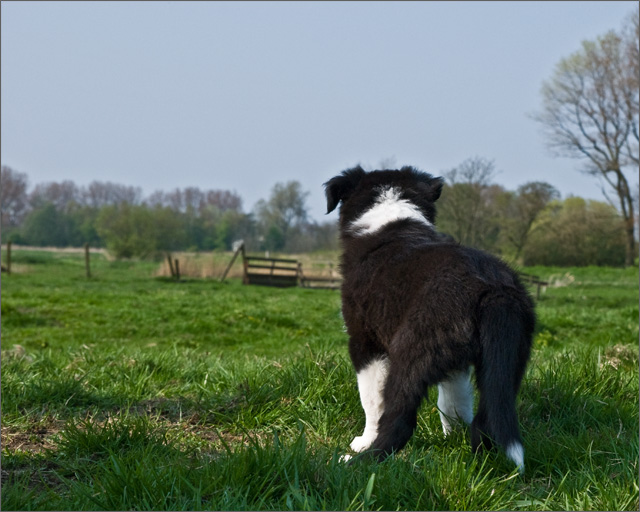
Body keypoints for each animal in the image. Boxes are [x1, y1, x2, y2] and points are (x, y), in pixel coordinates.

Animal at [324, 166, 536, 474]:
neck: (391, 212)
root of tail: (493, 290)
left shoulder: (365, 342)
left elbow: (372, 401)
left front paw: (362, 442)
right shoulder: (457, 362)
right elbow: (454, 401)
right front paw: (453, 439)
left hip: (410, 350)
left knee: (399, 421)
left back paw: (358, 462)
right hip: (510, 358)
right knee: (489, 414)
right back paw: (483, 464)